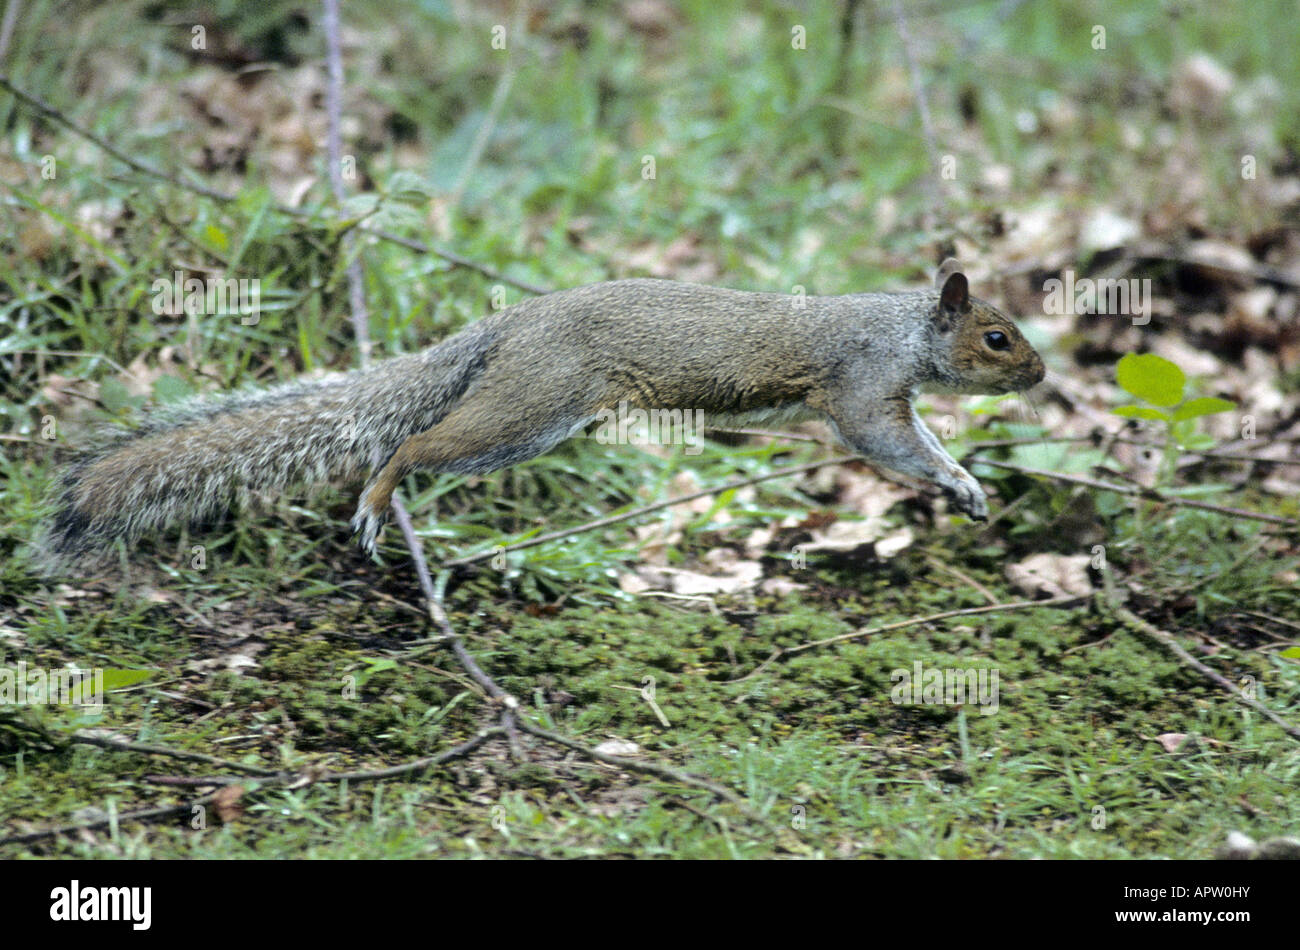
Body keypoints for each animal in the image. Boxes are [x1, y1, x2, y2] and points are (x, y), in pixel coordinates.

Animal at [32, 259, 1045, 571]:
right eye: (996, 337)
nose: (1039, 373)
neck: (903, 329)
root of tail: (508, 324)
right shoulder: (862, 390)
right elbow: (889, 443)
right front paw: (954, 479)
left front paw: (968, 488)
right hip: (531, 408)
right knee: (411, 442)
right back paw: (377, 498)